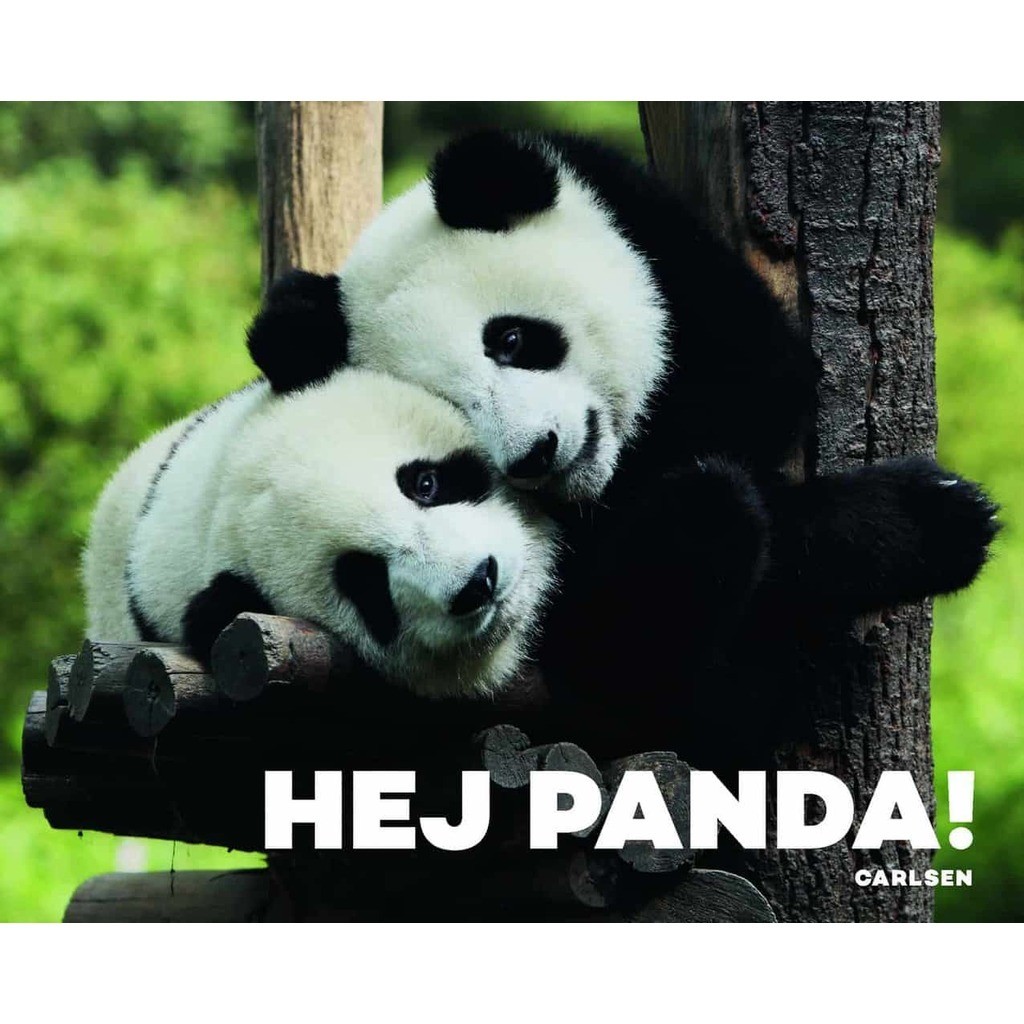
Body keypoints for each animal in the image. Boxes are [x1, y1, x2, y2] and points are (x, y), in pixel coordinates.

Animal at [244, 130, 999, 754]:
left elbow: (766, 388)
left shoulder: (661, 246)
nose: (536, 454)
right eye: (456, 409)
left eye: (510, 339)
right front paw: (932, 520)